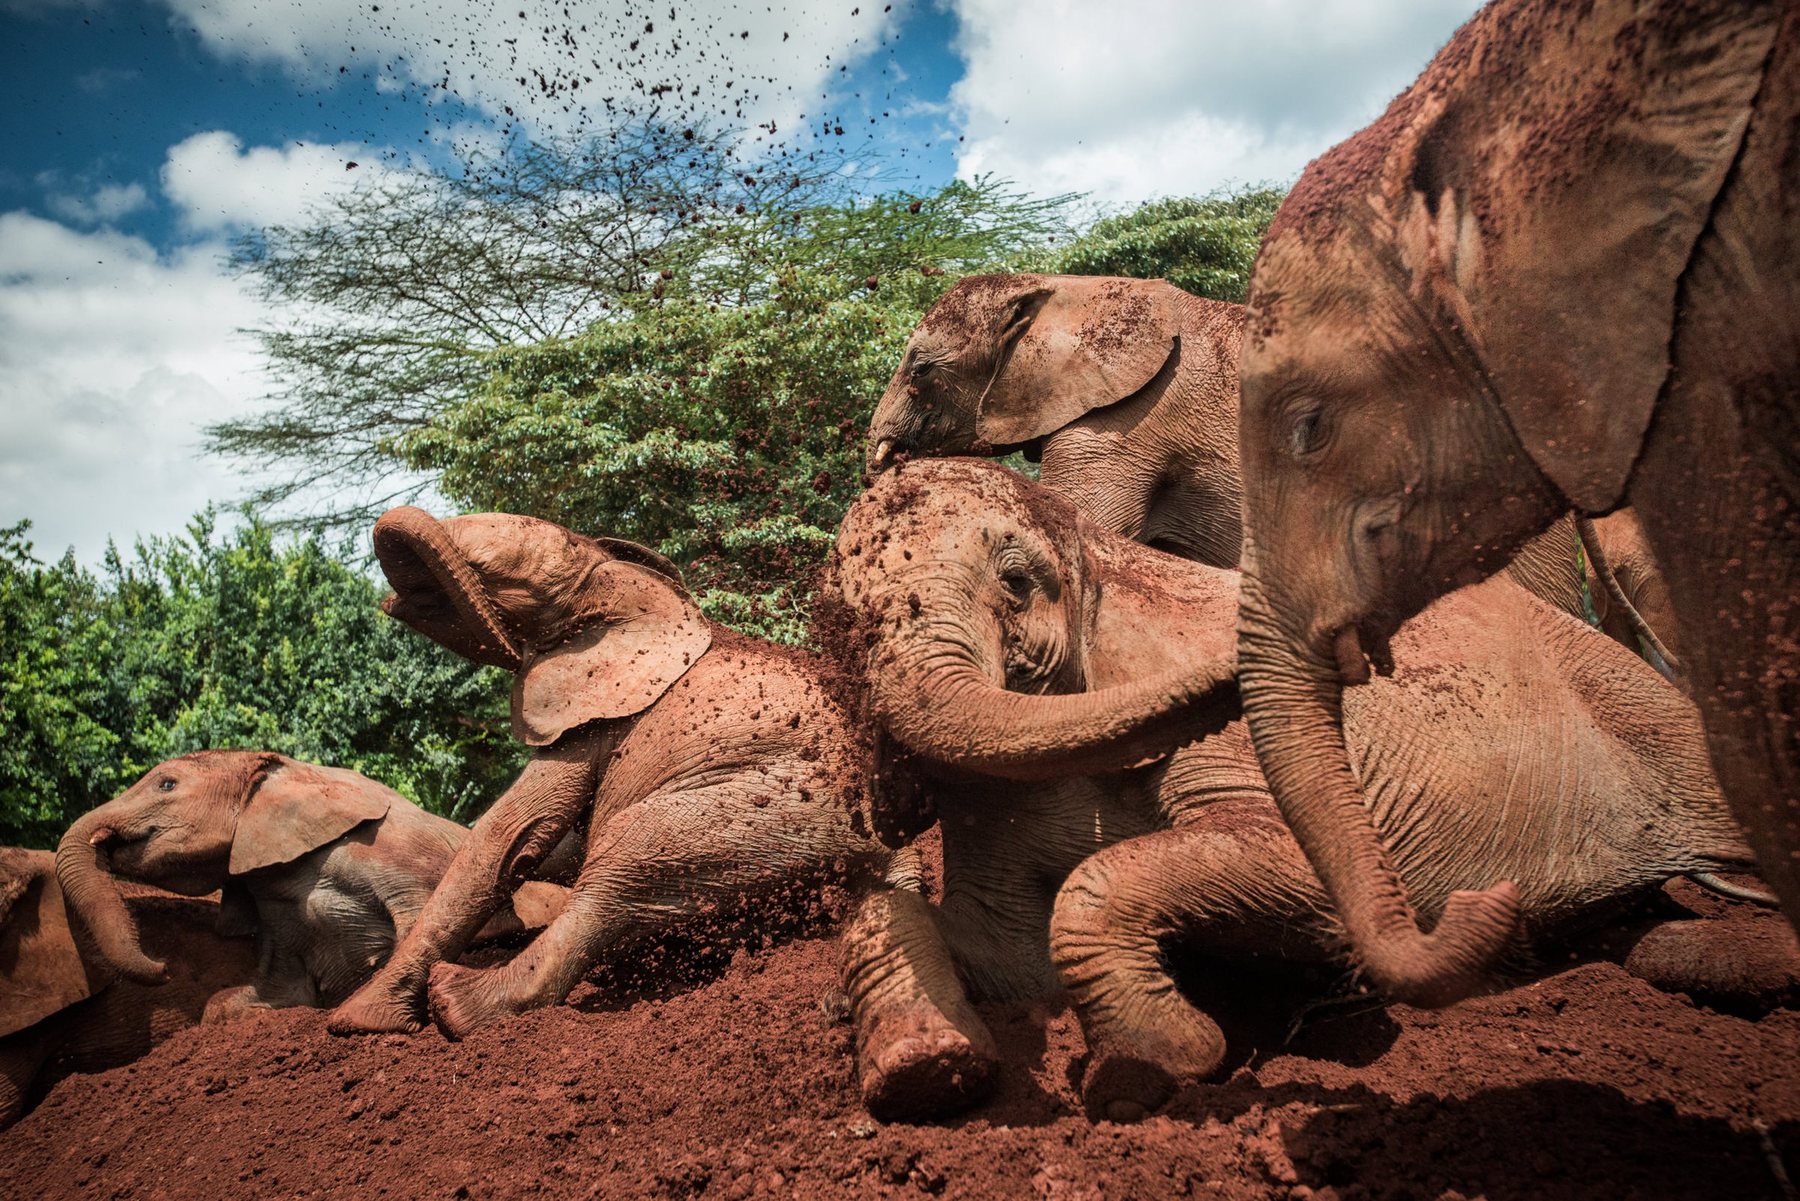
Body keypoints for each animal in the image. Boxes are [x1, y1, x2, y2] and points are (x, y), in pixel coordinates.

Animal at [54, 752, 565, 1020]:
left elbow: (418, 918)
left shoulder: (387, 851)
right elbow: (266, 994)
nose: (163, 968)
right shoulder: (271, 902)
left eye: (166, 784)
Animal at [327, 506, 889, 1039]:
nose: (389, 604)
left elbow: (507, 831)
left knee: (621, 866)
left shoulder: (600, 719)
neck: (628, 583)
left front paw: (354, 1022)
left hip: (768, 816)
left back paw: (455, 1004)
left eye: (545, 557)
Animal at [832, 459, 1780, 1121]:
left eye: (1016, 581)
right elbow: (994, 949)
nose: (1356, 648)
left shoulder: (1236, 738)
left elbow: (1296, 881)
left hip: (1656, 716)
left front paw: (1154, 1068)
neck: (1105, 557)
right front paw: (927, 1074)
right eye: (840, 630)